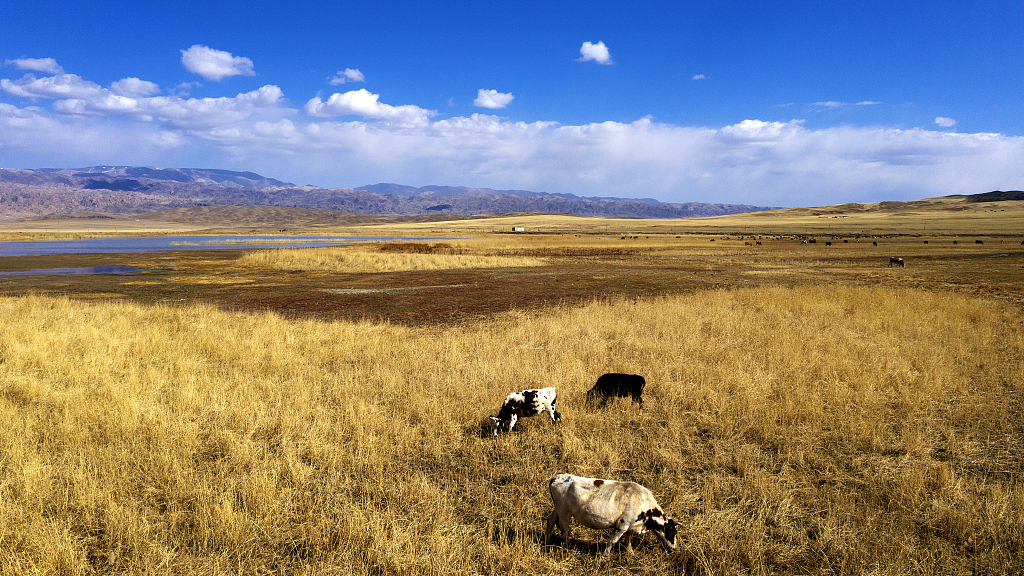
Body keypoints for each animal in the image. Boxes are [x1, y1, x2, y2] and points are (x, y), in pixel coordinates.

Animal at [544, 471, 679, 553]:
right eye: (672, 532)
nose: (674, 548)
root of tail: (556, 477)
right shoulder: (622, 524)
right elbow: (613, 540)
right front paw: (605, 556)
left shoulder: (630, 525)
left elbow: (628, 539)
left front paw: (630, 552)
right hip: (564, 511)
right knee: (563, 527)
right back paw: (569, 545)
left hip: (558, 508)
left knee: (551, 520)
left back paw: (546, 540)